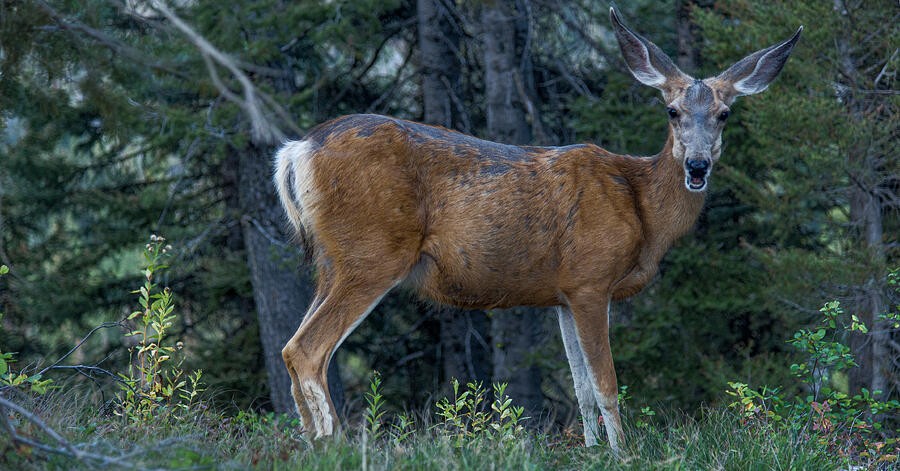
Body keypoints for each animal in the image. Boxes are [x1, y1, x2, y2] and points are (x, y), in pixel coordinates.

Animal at [272, 8, 801, 453]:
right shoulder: (591, 278)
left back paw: (306, 443)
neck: (641, 206)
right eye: (672, 112)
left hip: (332, 261)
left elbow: (581, 386)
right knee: (307, 349)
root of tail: (297, 150)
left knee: (290, 348)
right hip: (374, 254)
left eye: (724, 114)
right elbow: (606, 382)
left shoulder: (562, 293)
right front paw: (623, 452)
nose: (697, 165)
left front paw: (592, 450)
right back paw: (333, 446)